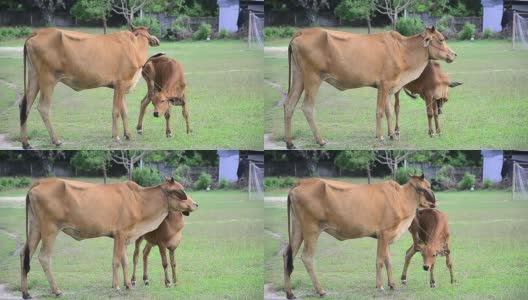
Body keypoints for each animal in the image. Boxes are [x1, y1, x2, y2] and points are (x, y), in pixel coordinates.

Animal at [19, 177, 198, 298]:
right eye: (180, 191)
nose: (195, 204)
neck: (139, 200)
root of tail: (41, 182)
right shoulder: (120, 235)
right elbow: (116, 261)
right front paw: (118, 286)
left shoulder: (124, 237)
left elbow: (124, 261)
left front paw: (127, 284)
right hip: (50, 230)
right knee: (44, 257)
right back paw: (56, 290)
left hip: (35, 228)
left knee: (24, 254)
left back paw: (26, 292)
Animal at [20, 25, 161, 149]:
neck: (134, 46)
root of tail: (38, 32)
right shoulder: (120, 84)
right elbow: (116, 111)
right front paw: (116, 136)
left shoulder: (122, 85)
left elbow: (124, 111)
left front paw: (128, 135)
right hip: (48, 79)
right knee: (43, 107)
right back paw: (56, 140)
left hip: (34, 77)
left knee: (25, 105)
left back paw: (26, 143)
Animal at [282, 26, 456, 148]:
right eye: (441, 39)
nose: (454, 54)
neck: (402, 50)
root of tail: (301, 32)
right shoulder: (384, 85)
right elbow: (380, 111)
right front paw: (380, 136)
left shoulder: (389, 87)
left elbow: (389, 111)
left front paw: (392, 134)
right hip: (313, 78)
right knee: (307, 107)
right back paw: (320, 140)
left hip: (299, 77)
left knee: (289, 104)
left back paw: (290, 143)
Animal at [284, 175, 438, 298]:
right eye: (428, 187)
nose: (435, 203)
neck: (400, 198)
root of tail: (301, 182)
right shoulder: (384, 234)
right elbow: (380, 260)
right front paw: (380, 286)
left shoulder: (387, 237)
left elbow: (388, 261)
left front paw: (392, 284)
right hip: (312, 230)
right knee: (307, 257)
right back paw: (320, 291)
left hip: (298, 229)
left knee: (287, 254)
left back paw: (290, 293)